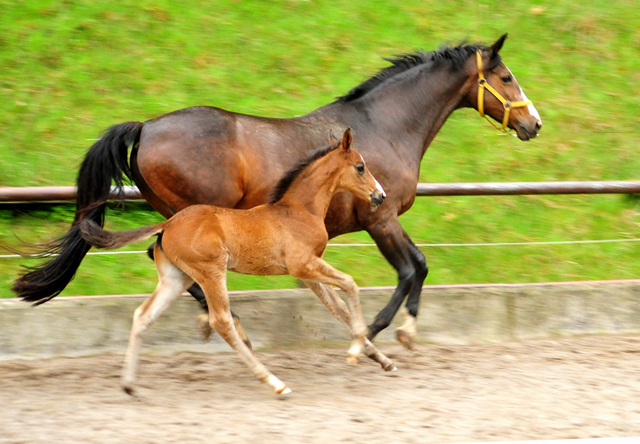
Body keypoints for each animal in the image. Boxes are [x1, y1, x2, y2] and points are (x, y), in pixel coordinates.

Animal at [12, 33, 540, 346]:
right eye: (506, 76)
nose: (534, 123)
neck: (384, 127)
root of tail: (144, 128)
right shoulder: (379, 216)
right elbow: (410, 268)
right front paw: (371, 330)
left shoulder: (383, 217)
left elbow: (421, 265)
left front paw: (407, 334)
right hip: (194, 215)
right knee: (173, 262)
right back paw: (226, 324)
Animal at [80, 129, 396, 396]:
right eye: (360, 166)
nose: (380, 195)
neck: (299, 211)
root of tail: (167, 224)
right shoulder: (303, 265)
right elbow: (351, 285)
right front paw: (354, 353)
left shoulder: (309, 272)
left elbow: (338, 308)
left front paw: (383, 360)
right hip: (210, 272)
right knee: (221, 321)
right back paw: (275, 382)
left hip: (175, 278)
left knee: (143, 316)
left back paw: (129, 385)